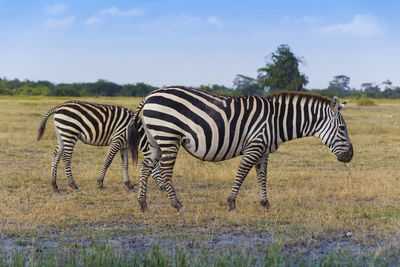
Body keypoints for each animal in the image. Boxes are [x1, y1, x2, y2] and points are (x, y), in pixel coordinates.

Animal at [129, 87, 354, 213]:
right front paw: (231, 203)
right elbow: (242, 173)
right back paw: (177, 205)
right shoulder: (254, 145)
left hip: (156, 139)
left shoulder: (263, 151)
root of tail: (150, 95)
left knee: (146, 167)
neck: (277, 121)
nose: (350, 156)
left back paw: (142, 204)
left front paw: (265, 204)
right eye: (342, 128)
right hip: (169, 136)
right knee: (165, 171)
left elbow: (262, 176)